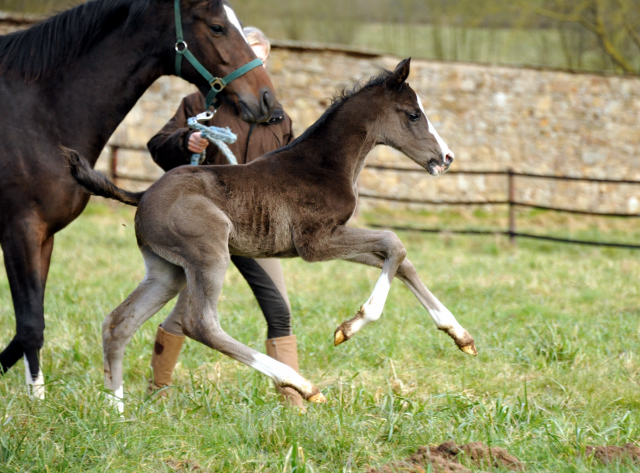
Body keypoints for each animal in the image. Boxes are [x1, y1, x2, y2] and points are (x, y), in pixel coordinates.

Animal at [0, 0, 276, 396]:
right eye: (217, 27)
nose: (268, 99)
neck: (40, 115)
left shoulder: (44, 236)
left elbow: (27, 325)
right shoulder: (20, 229)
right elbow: (30, 325)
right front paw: (37, 400)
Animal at [67, 58, 478, 406]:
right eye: (413, 114)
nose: (446, 158)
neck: (323, 165)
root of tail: (143, 195)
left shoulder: (332, 237)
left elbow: (400, 258)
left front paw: (460, 336)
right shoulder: (315, 242)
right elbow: (394, 242)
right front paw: (351, 327)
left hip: (166, 270)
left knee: (119, 322)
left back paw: (116, 409)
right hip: (209, 254)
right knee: (200, 324)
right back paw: (302, 385)